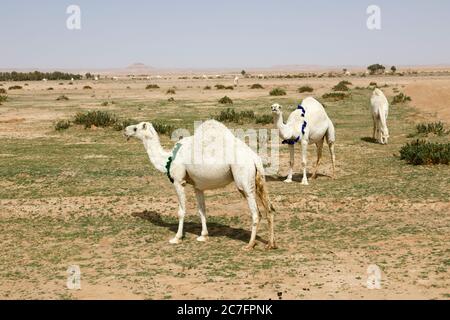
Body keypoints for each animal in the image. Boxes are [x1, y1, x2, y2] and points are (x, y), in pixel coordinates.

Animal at [125, 119, 276, 250]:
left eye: (135, 128)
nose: (125, 130)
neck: (168, 159)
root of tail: (254, 159)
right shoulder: (197, 186)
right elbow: (202, 210)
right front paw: (203, 236)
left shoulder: (178, 181)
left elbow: (181, 211)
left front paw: (177, 238)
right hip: (258, 180)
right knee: (269, 209)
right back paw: (271, 244)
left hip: (244, 181)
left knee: (256, 213)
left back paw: (250, 244)